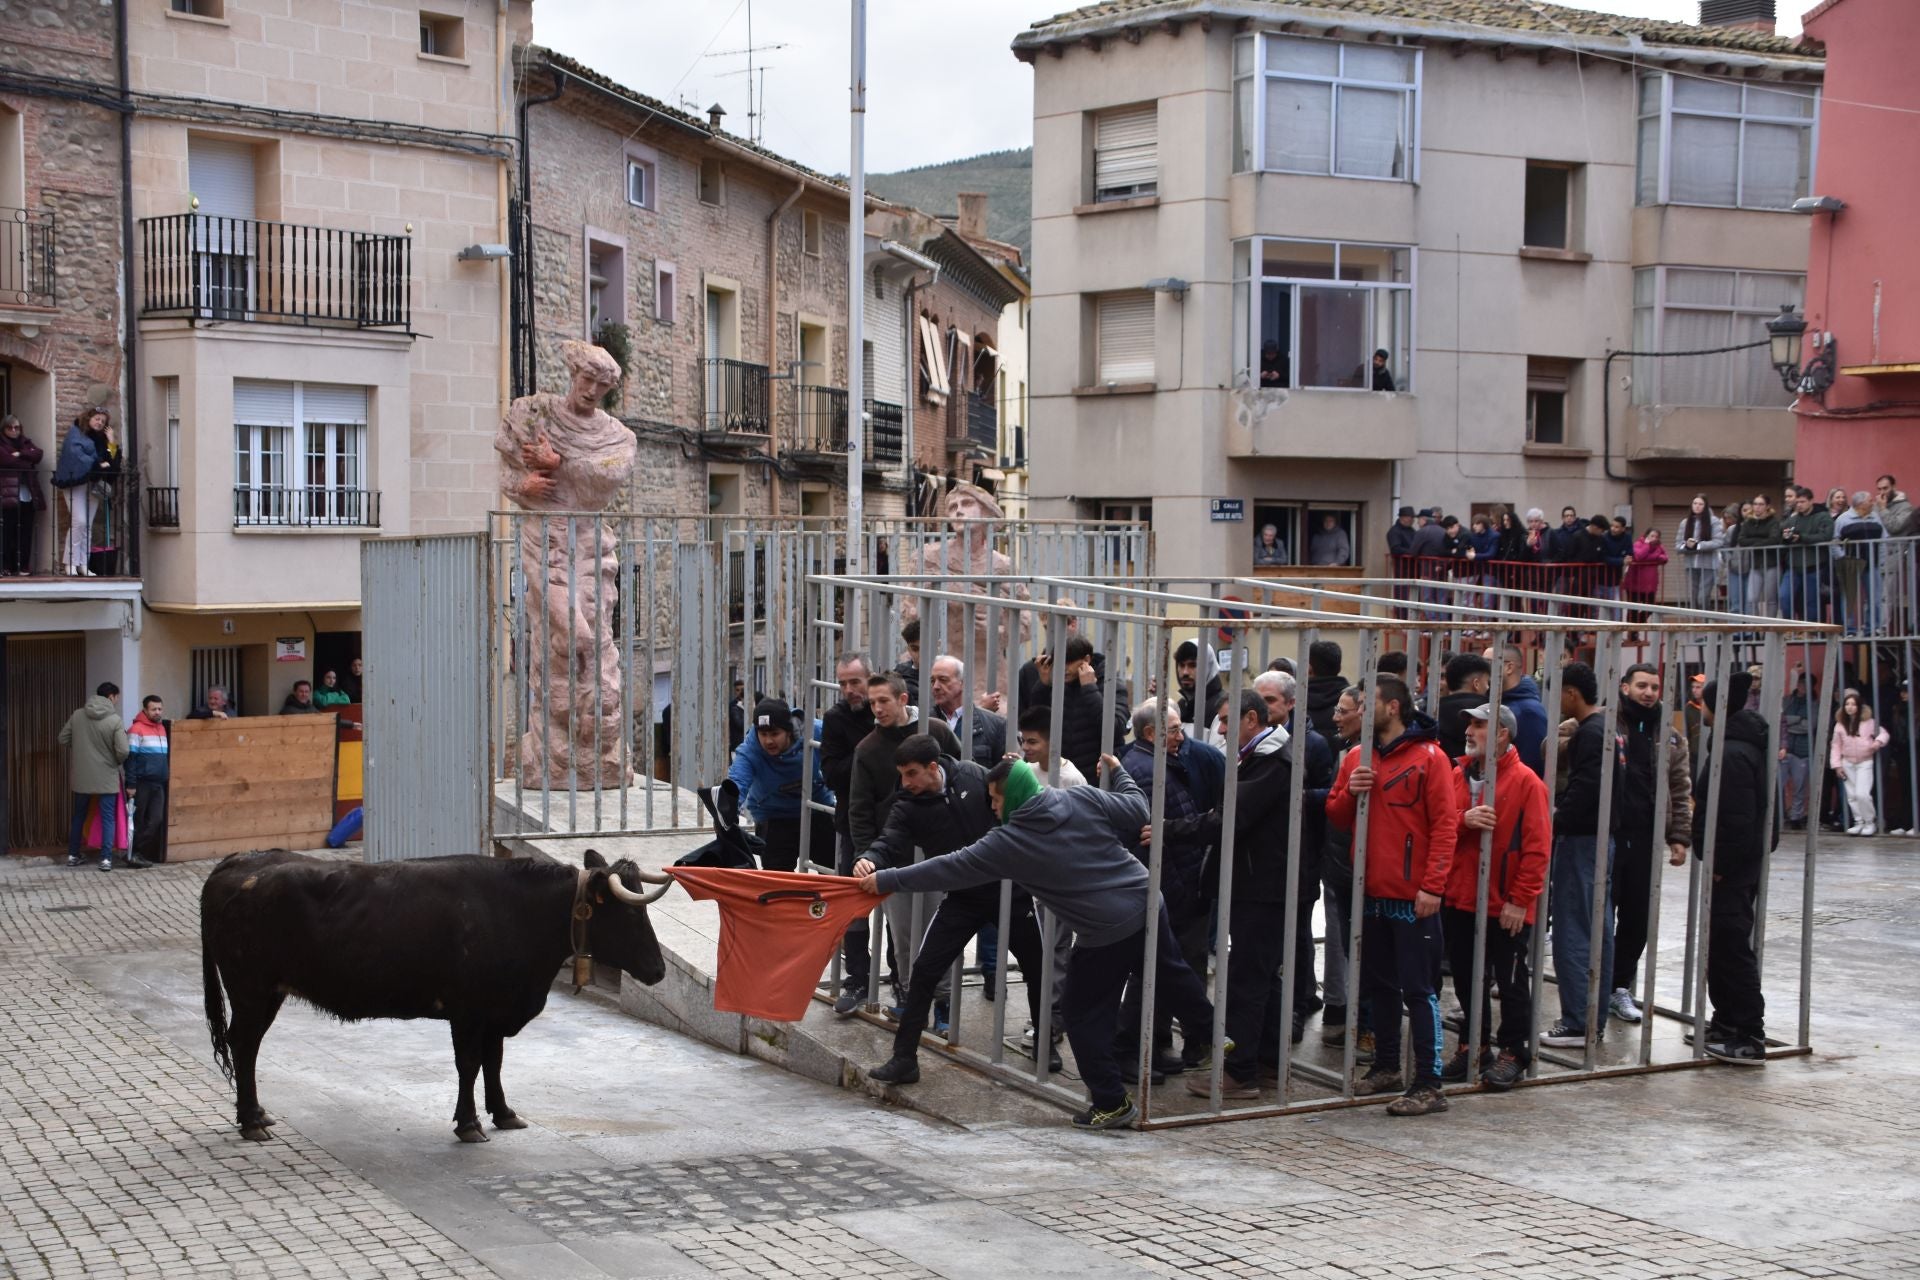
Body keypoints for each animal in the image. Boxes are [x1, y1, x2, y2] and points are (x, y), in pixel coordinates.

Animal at [202, 852, 668, 1143]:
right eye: (631, 913)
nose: (659, 970)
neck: (516, 912)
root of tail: (240, 862)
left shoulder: (495, 1011)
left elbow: (494, 1062)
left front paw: (503, 1113)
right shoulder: (468, 1012)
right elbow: (469, 1065)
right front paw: (469, 1123)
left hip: (268, 994)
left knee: (248, 1046)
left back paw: (256, 1114)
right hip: (250, 990)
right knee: (243, 1045)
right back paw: (250, 1121)